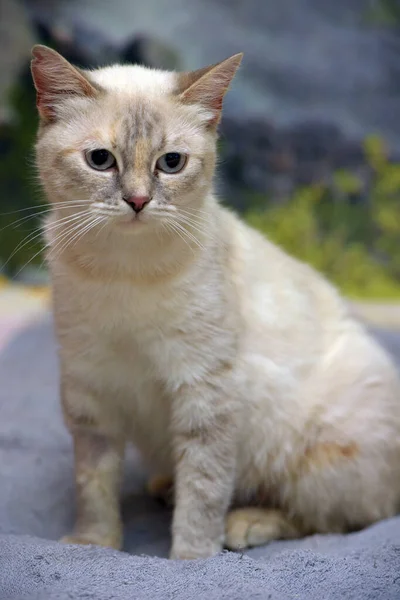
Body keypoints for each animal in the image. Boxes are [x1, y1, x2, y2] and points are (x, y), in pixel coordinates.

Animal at [30, 44, 400, 560]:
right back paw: (165, 487)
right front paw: (93, 544)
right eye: (101, 160)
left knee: (333, 519)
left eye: (171, 163)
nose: (138, 201)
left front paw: (191, 559)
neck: (123, 270)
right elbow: (94, 485)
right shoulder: (90, 391)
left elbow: (204, 491)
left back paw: (246, 524)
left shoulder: (206, 392)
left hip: (318, 463)